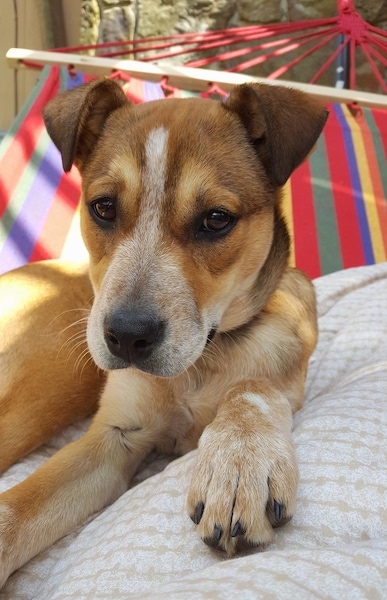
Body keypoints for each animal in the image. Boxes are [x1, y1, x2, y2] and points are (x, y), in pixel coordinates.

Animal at [0, 78, 328, 584]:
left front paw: (238, 462)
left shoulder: (284, 370)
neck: (199, 364)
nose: (126, 337)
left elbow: (252, 387)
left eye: (216, 219)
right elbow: (18, 507)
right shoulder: (114, 436)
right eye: (103, 207)